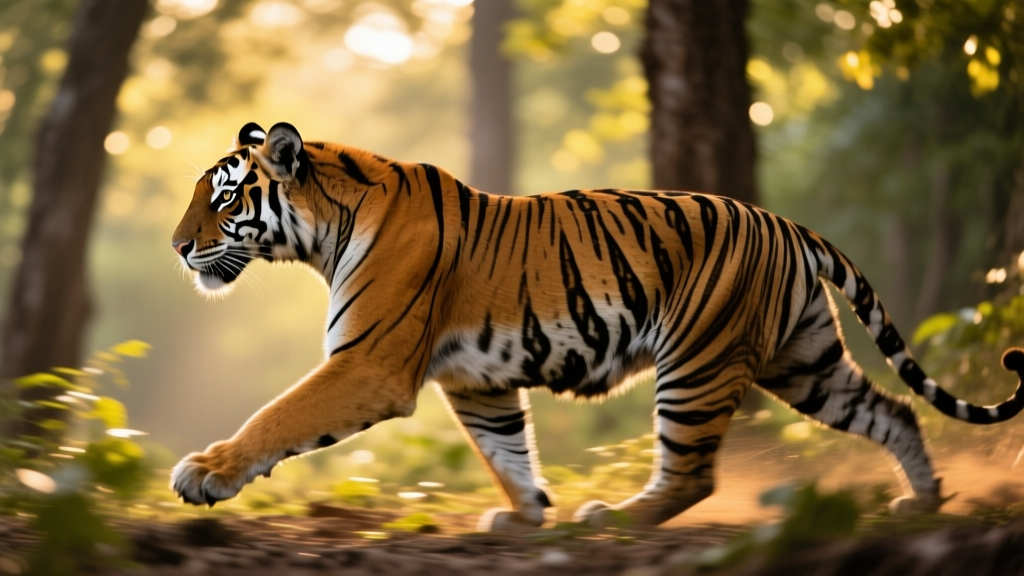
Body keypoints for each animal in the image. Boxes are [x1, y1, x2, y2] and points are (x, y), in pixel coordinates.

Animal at [170, 122, 1024, 530]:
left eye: (223, 199)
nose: (178, 247)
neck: (323, 231)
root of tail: (786, 222)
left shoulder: (367, 363)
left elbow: (280, 415)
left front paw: (206, 472)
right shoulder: (476, 383)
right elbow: (507, 452)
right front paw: (525, 517)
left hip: (698, 361)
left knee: (693, 473)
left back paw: (615, 518)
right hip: (805, 361)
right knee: (893, 409)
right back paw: (923, 502)